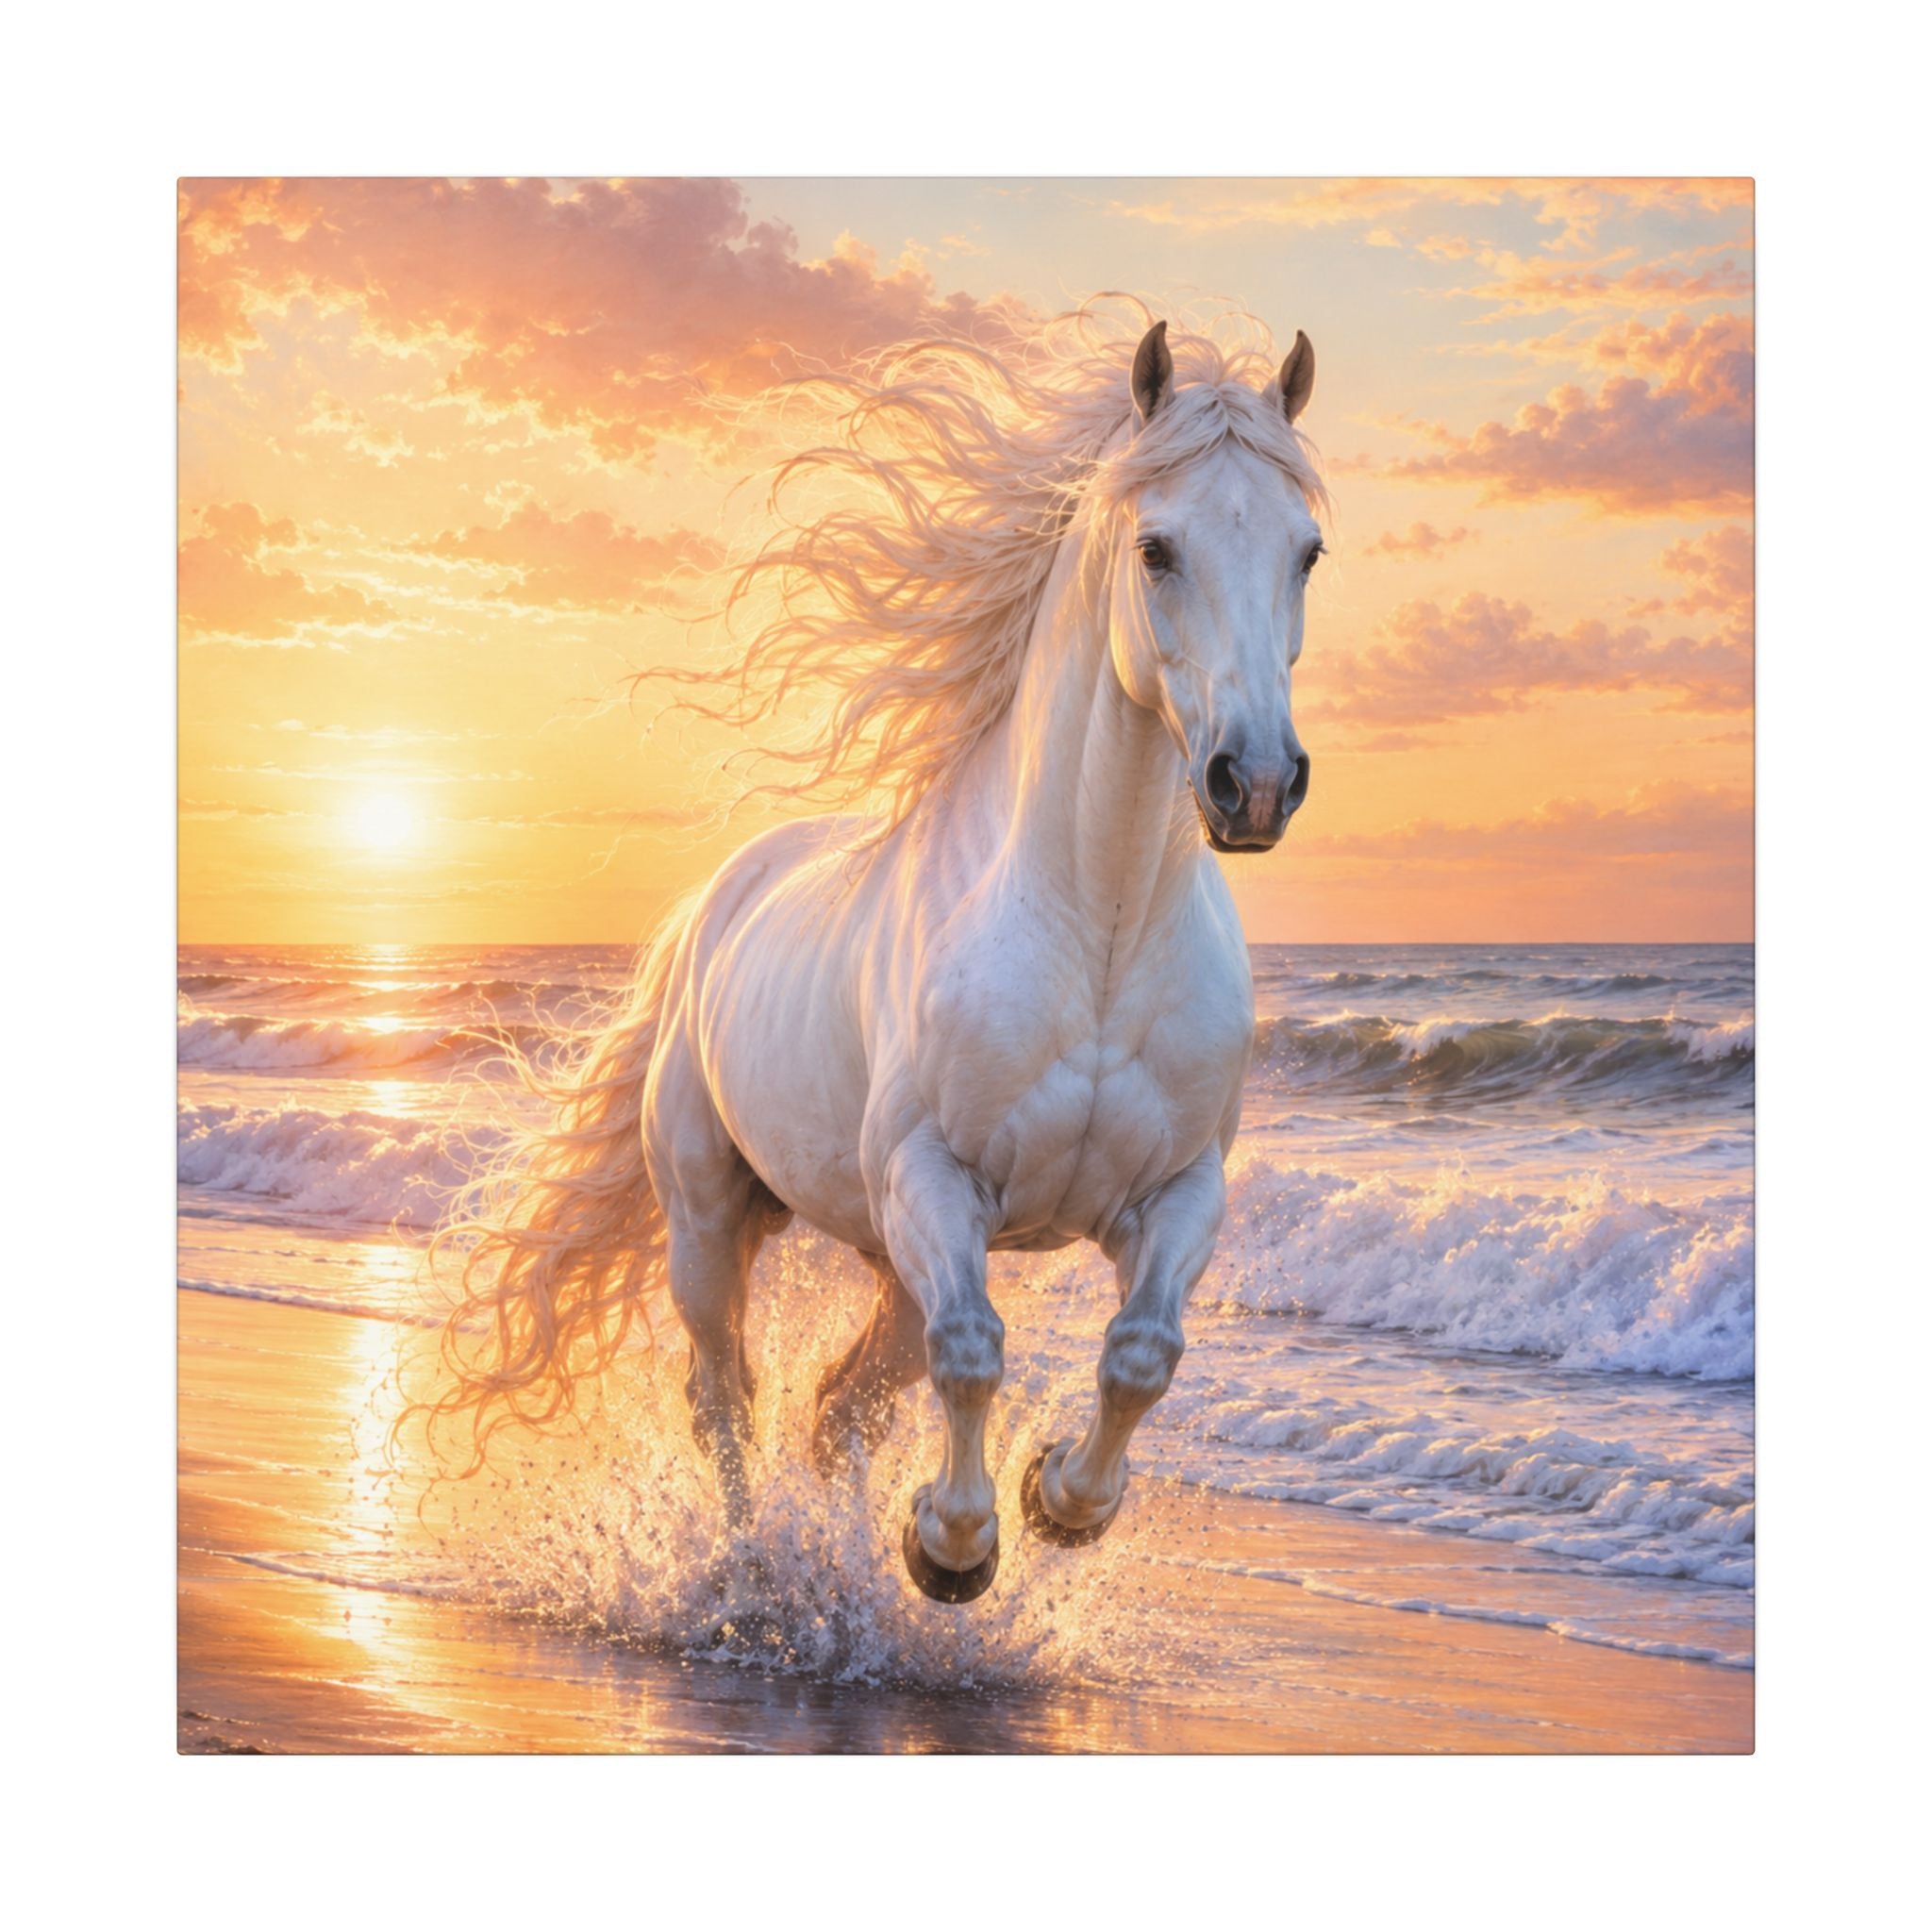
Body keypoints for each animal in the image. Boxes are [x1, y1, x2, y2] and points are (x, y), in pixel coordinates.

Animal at [430, 306, 1327, 1604]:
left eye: (1307, 551)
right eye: (1156, 547)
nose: (1252, 783)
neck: (1096, 935)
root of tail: (711, 904)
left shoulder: (1174, 1191)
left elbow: (1140, 1353)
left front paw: (1057, 1499)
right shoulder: (931, 1178)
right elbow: (971, 1356)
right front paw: (951, 1545)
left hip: (887, 1256)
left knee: (837, 1410)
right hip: (714, 1218)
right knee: (729, 1398)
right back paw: (755, 1568)